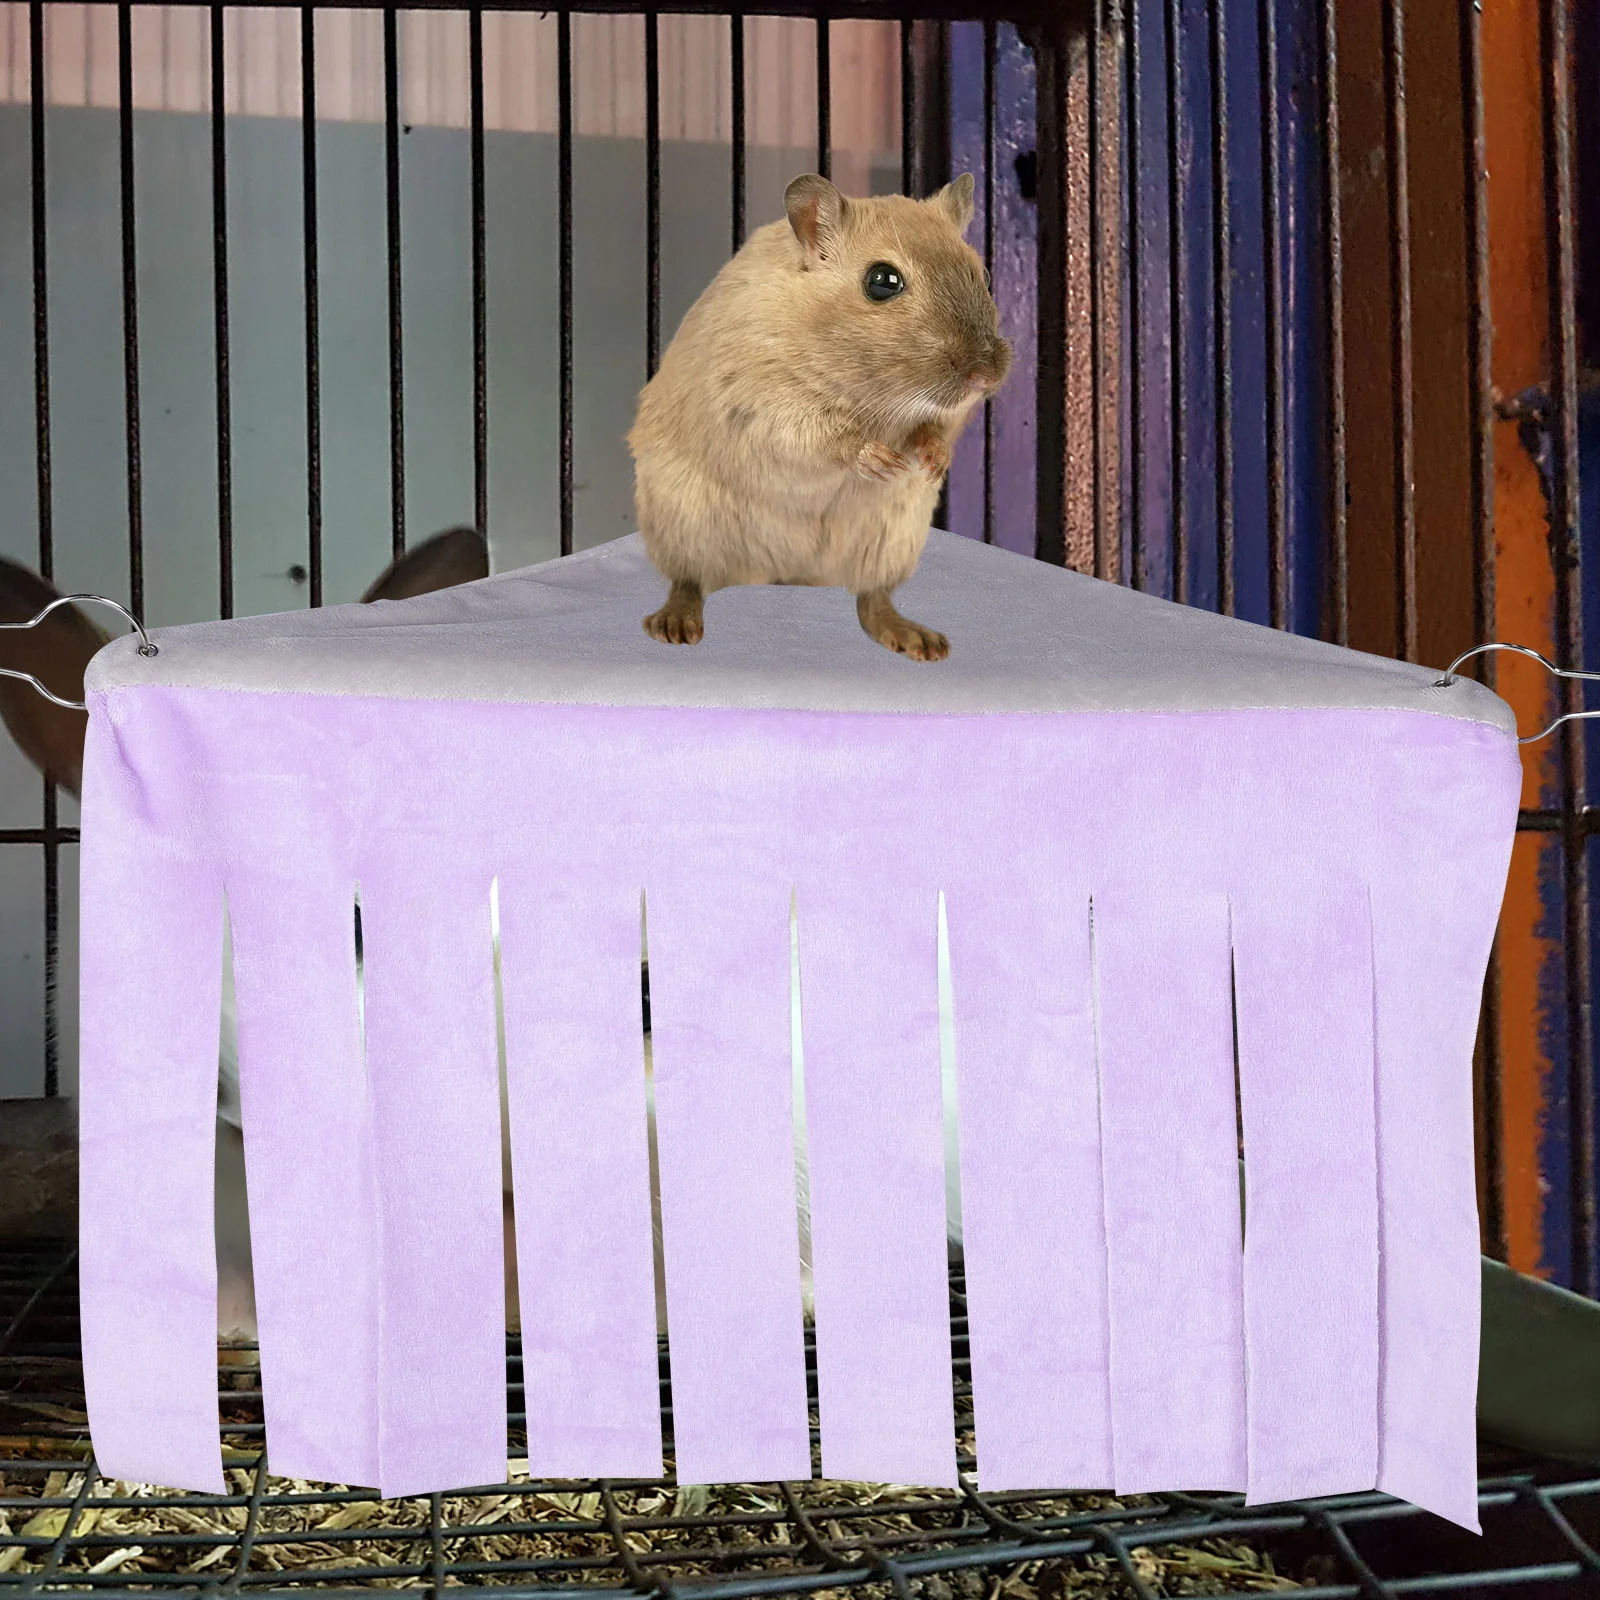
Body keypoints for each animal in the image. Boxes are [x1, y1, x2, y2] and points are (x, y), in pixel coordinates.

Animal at [628, 172, 1011, 661]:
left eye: (983, 274)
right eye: (882, 281)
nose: (985, 376)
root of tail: (787, 575)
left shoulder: (947, 414)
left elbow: (937, 429)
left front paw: (930, 462)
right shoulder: (761, 399)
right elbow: (823, 437)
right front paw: (881, 461)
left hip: (891, 540)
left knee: (872, 600)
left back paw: (920, 642)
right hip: (682, 524)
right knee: (688, 580)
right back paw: (675, 625)